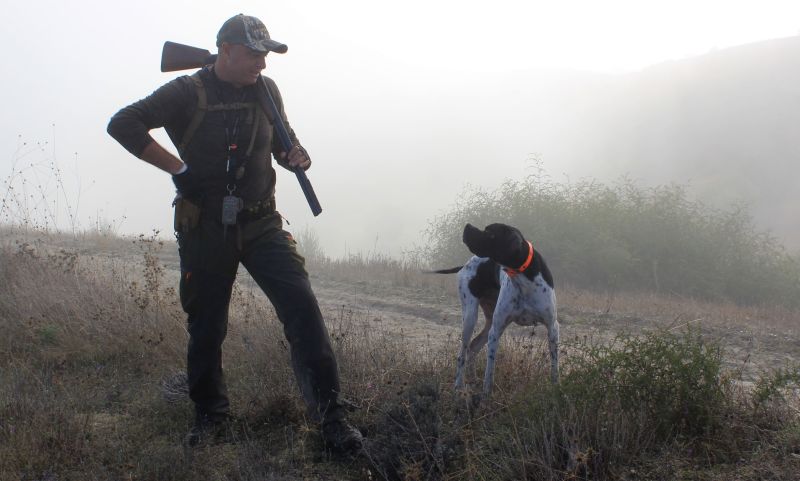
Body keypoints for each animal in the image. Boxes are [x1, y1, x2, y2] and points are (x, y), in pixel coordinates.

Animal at [434, 222, 560, 394]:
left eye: (490, 232)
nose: (467, 225)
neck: (523, 277)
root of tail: (465, 264)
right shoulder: (496, 330)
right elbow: (490, 370)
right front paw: (486, 394)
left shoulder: (552, 328)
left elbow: (554, 366)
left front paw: (556, 388)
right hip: (471, 317)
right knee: (462, 354)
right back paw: (459, 386)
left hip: (489, 322)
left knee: (473, 347)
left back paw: (472, 380)